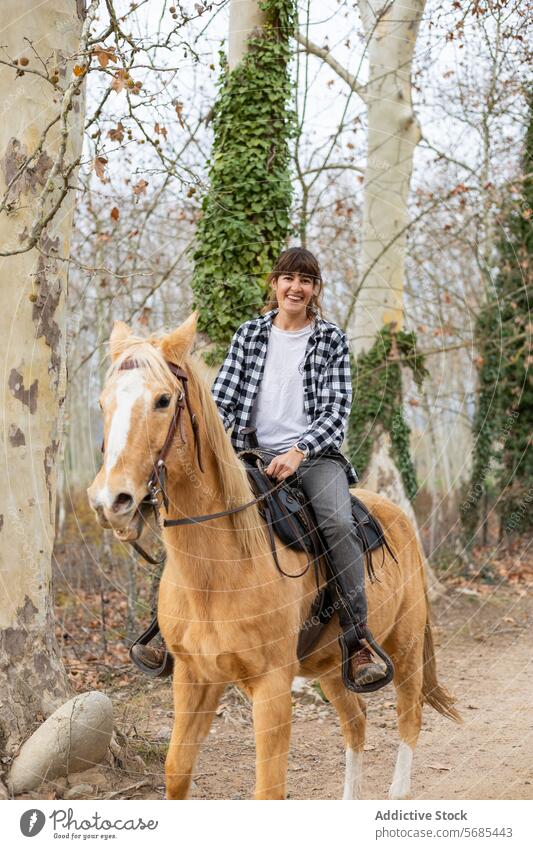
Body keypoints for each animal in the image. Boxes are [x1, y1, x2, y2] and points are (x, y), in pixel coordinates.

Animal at [86, 308, 458, 800]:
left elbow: (269, 788)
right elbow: (177, 770)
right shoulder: (194, 677)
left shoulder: (272, 687)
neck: (219, 570)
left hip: (407, 646)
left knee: (409, 720)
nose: (111, 500)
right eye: (103, 403)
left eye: (164, 400)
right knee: (355, 725)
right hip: (331, 669)